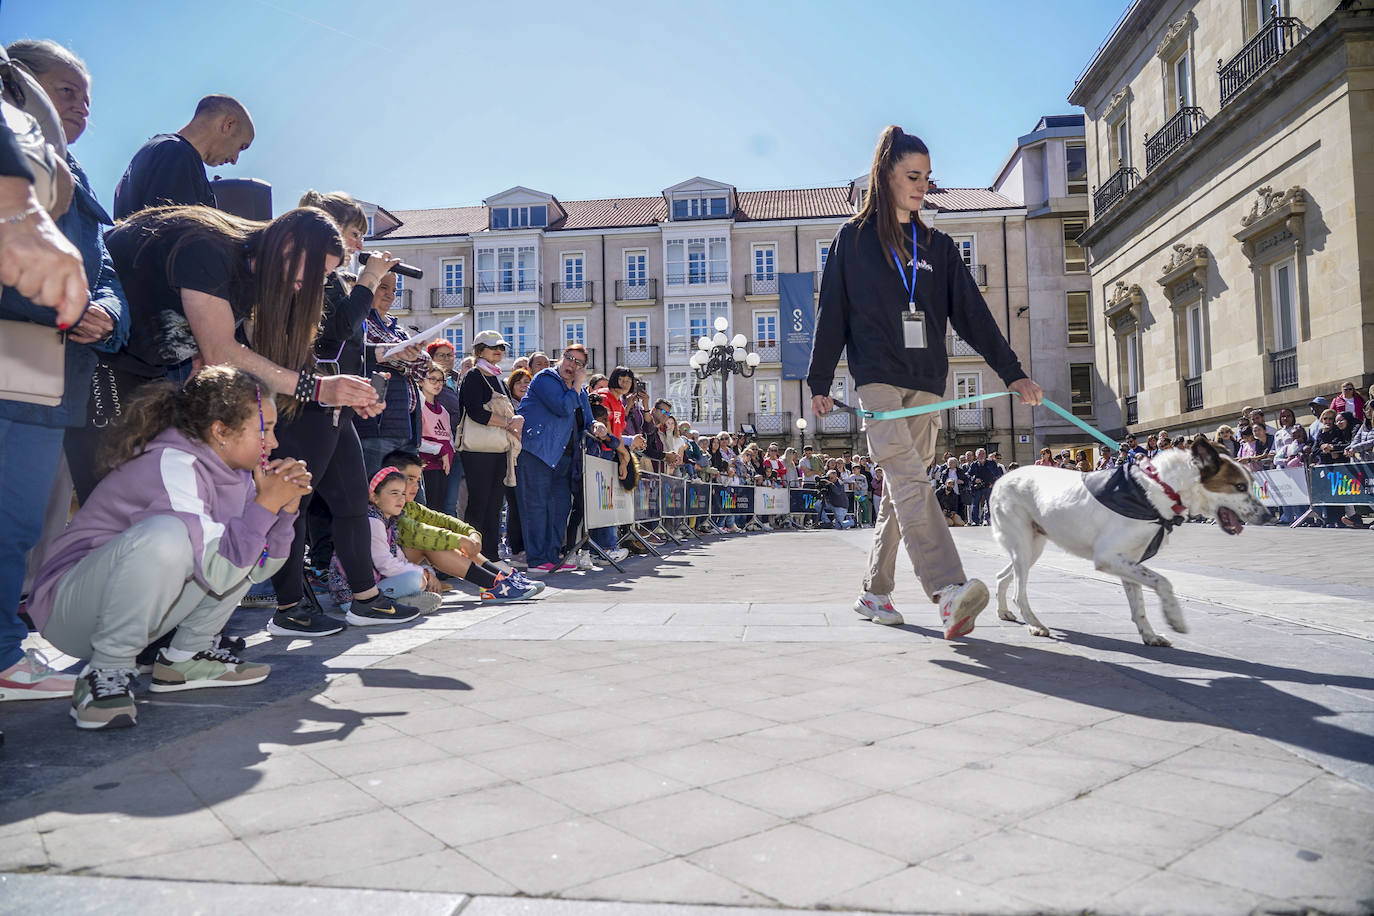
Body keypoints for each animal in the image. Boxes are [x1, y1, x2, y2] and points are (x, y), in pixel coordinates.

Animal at [989, 436, 1264, 645]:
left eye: (1250, 484)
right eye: (1239, 486)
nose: (1267, 515)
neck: (1156, 490)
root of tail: (1001, 479)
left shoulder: (1128, 561)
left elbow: (1139, 605)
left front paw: (1150, 636)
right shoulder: (1108, 557)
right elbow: (1163, 582)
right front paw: (1174, 617)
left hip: (1032, 546)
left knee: (1002, 576)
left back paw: (1004, 612)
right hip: (1024, 544)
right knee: (1019, 592)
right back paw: (1035, 625)